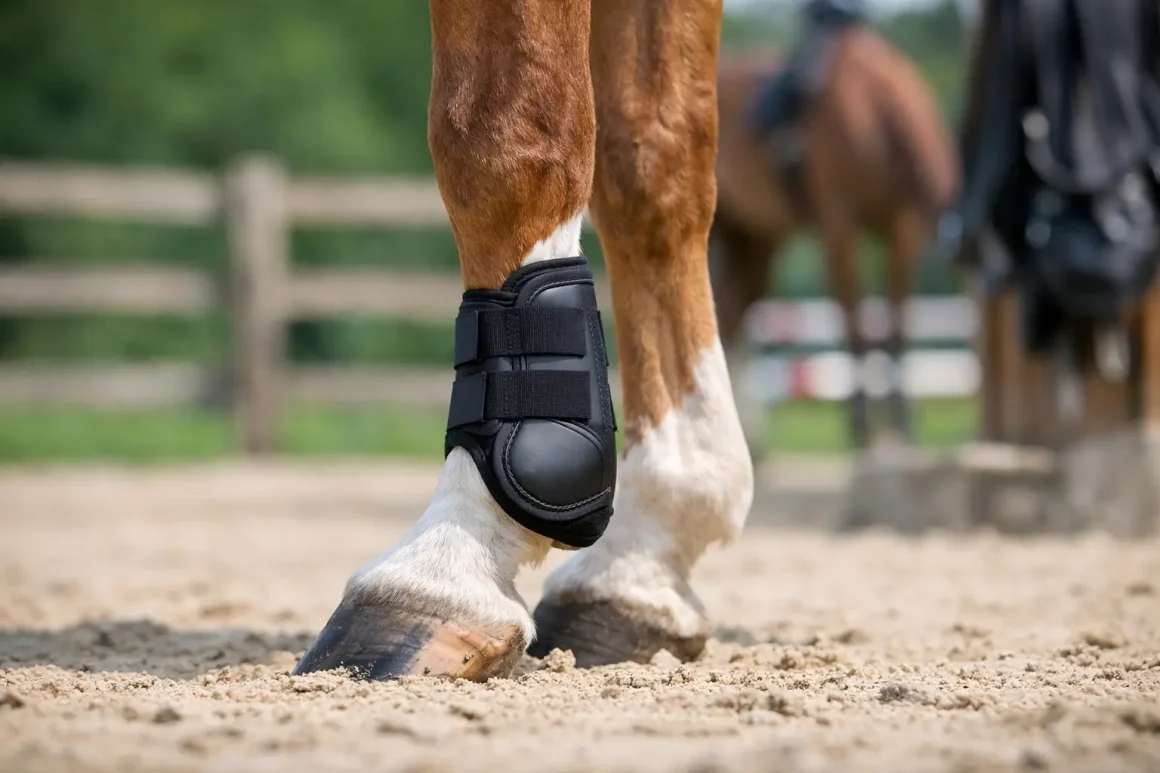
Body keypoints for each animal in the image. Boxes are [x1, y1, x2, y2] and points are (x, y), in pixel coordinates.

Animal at [709, 26, 960, 455]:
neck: (872, 107)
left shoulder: (901, 231)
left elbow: (897, 324)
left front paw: (901, 426)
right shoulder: (839, 229)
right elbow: (854, 323)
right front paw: (862, 428)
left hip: (756, 238)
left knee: (731, 314)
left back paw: (749, 440)